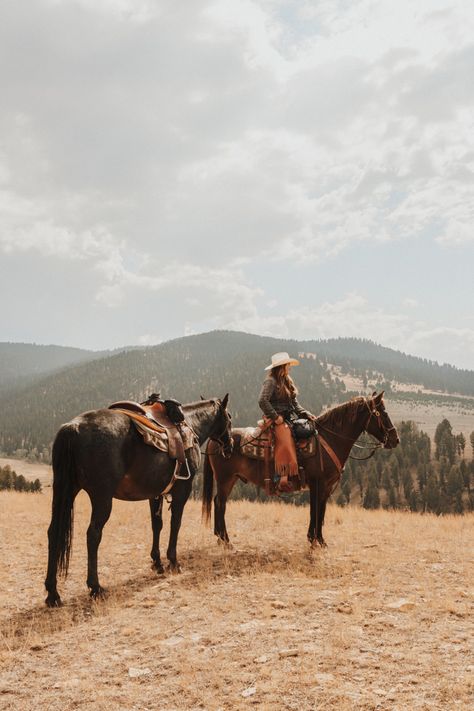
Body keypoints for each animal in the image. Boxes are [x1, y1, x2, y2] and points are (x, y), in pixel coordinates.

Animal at [44, 394, 231, 608]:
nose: (230, 445)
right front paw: (173, 562)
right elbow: (175, 524)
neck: (190, 425)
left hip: (64, 490)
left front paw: (157, 562)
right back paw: (96, 587)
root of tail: (73, 427)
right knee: (93, 534)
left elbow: (157, 525)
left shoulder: (155, 494)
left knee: (54, 531)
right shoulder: (183, 489)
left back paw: (53, 593)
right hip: (101, 497)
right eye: (229, 418)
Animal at [202, 392, 398, 548]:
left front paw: (318, 540)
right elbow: (315, 511)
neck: (329, 439)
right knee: (220, 503)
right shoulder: (317, 483)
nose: (395, 439)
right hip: (225, 479)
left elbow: (321, 511)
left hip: (230, 479)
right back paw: (226, 540)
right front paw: (314, 540)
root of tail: (216, 439)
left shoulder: (325, 487)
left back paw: (219, 537)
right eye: (382, 413)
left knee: (217, 502)